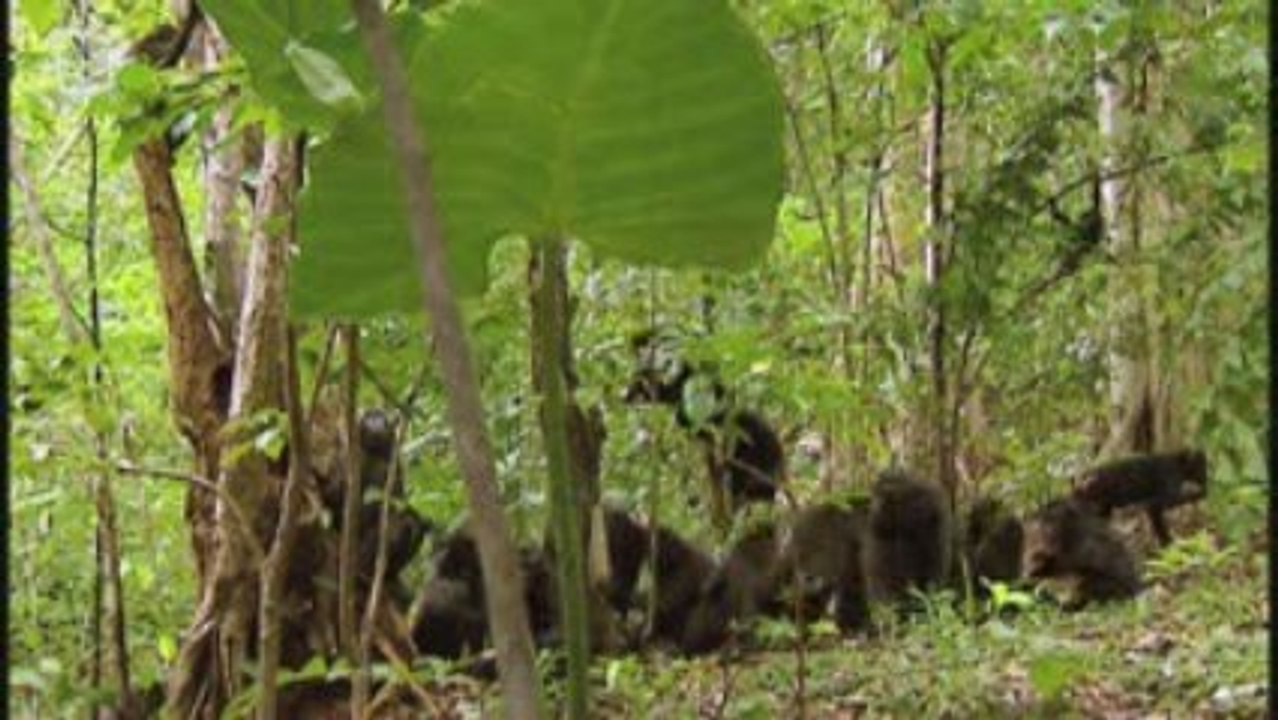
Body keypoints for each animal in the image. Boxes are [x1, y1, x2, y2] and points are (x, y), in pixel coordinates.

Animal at [1072, 449, 1209, 546]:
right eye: (1202, 466)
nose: (1205, 478)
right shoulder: (1163, 496)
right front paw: (1168, 545)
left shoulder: (1154, 506)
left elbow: (1158, 524)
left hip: (1104, 508)